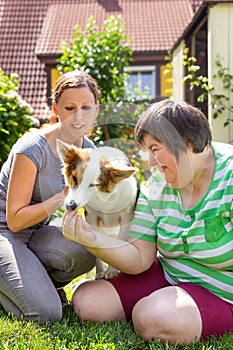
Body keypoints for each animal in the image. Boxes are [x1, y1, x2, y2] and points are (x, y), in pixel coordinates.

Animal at [57, 139, 139, 278]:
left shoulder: (126, 217)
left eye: (92, 185)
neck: (102, 198)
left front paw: (111, 270)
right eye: (74, 178)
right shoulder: (92, 216)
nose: (70, 206)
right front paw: (100, 271)